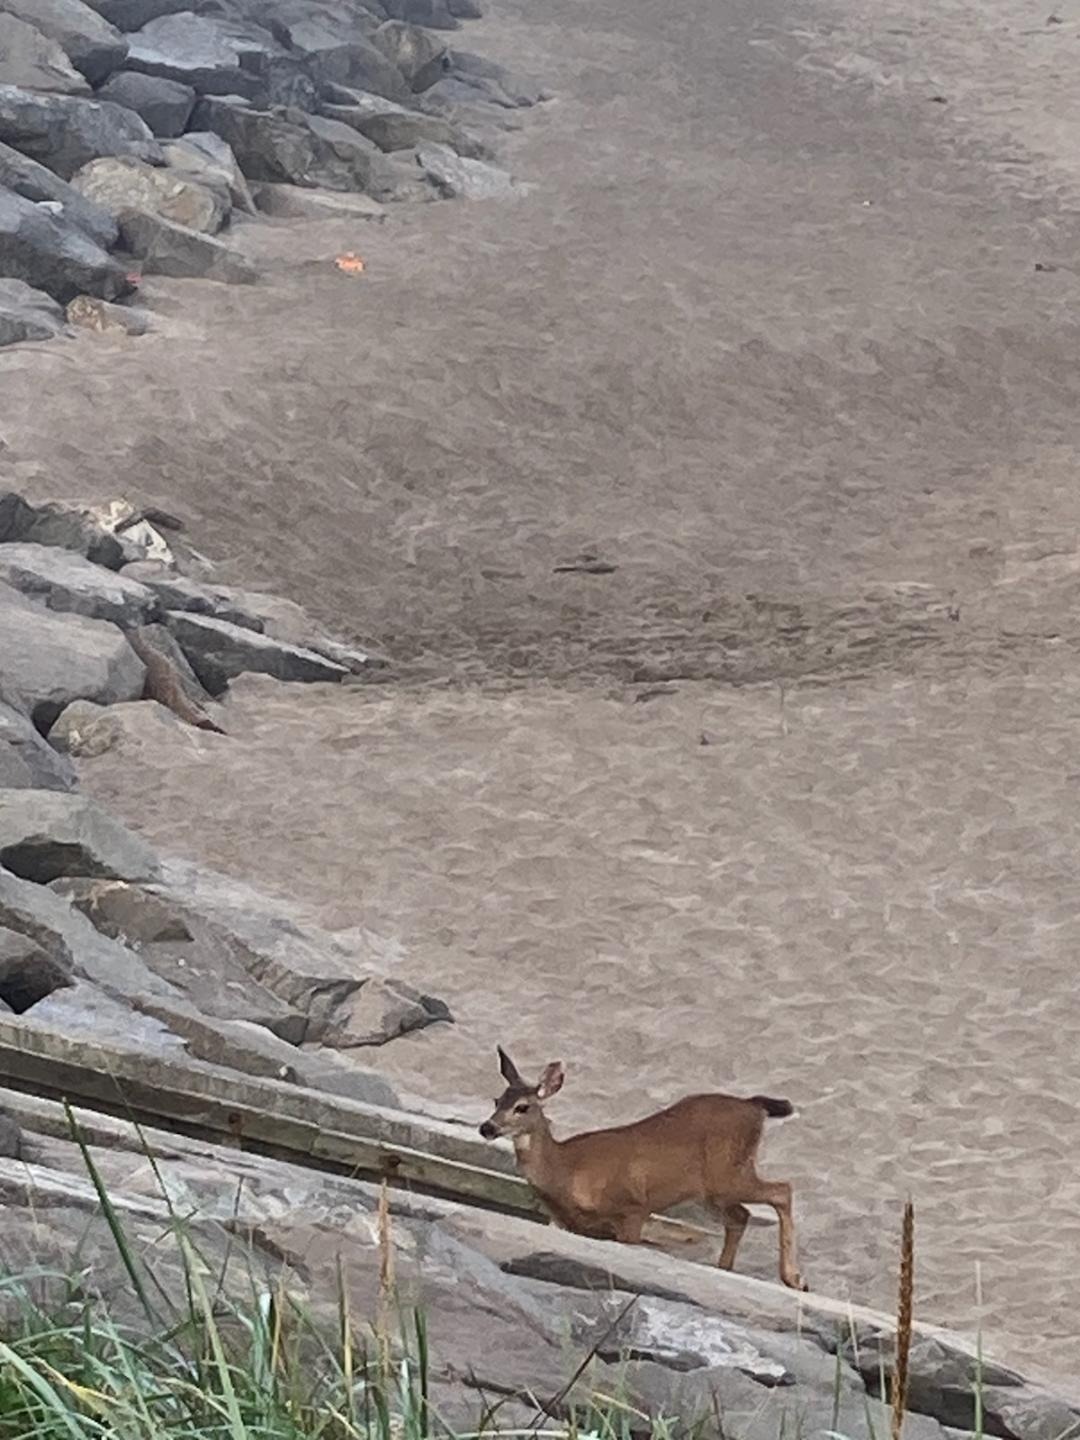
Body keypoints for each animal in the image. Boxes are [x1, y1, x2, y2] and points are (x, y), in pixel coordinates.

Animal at [480, 1042, 806, 1290]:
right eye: (496, 1100)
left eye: (522, 1107)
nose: (487, 1128)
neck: (566, 1171)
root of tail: (755, 1106)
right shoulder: (576, 1226)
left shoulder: (632, 1208)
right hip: (713, 1191)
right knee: (741, 1216)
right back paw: (725, 1269)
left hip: (728, 1175)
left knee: (782, 1190)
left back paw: (794, 1279)